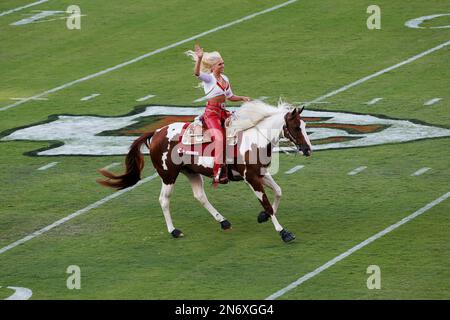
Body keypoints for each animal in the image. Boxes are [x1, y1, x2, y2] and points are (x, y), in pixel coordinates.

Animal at [96, 100, 312, 242]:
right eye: (296, 127)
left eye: (305, 125)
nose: (308, 149)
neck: (254, 139)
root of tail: (156, 132)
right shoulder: (251, 178)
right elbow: (267, 203)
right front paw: (283, 232)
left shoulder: (261, 174)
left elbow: (278, 192)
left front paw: (262, 217)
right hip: (168, 176)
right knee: (164, 200)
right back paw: (174, 231)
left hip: (191, 172)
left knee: (200, 196)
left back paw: (223, 221)